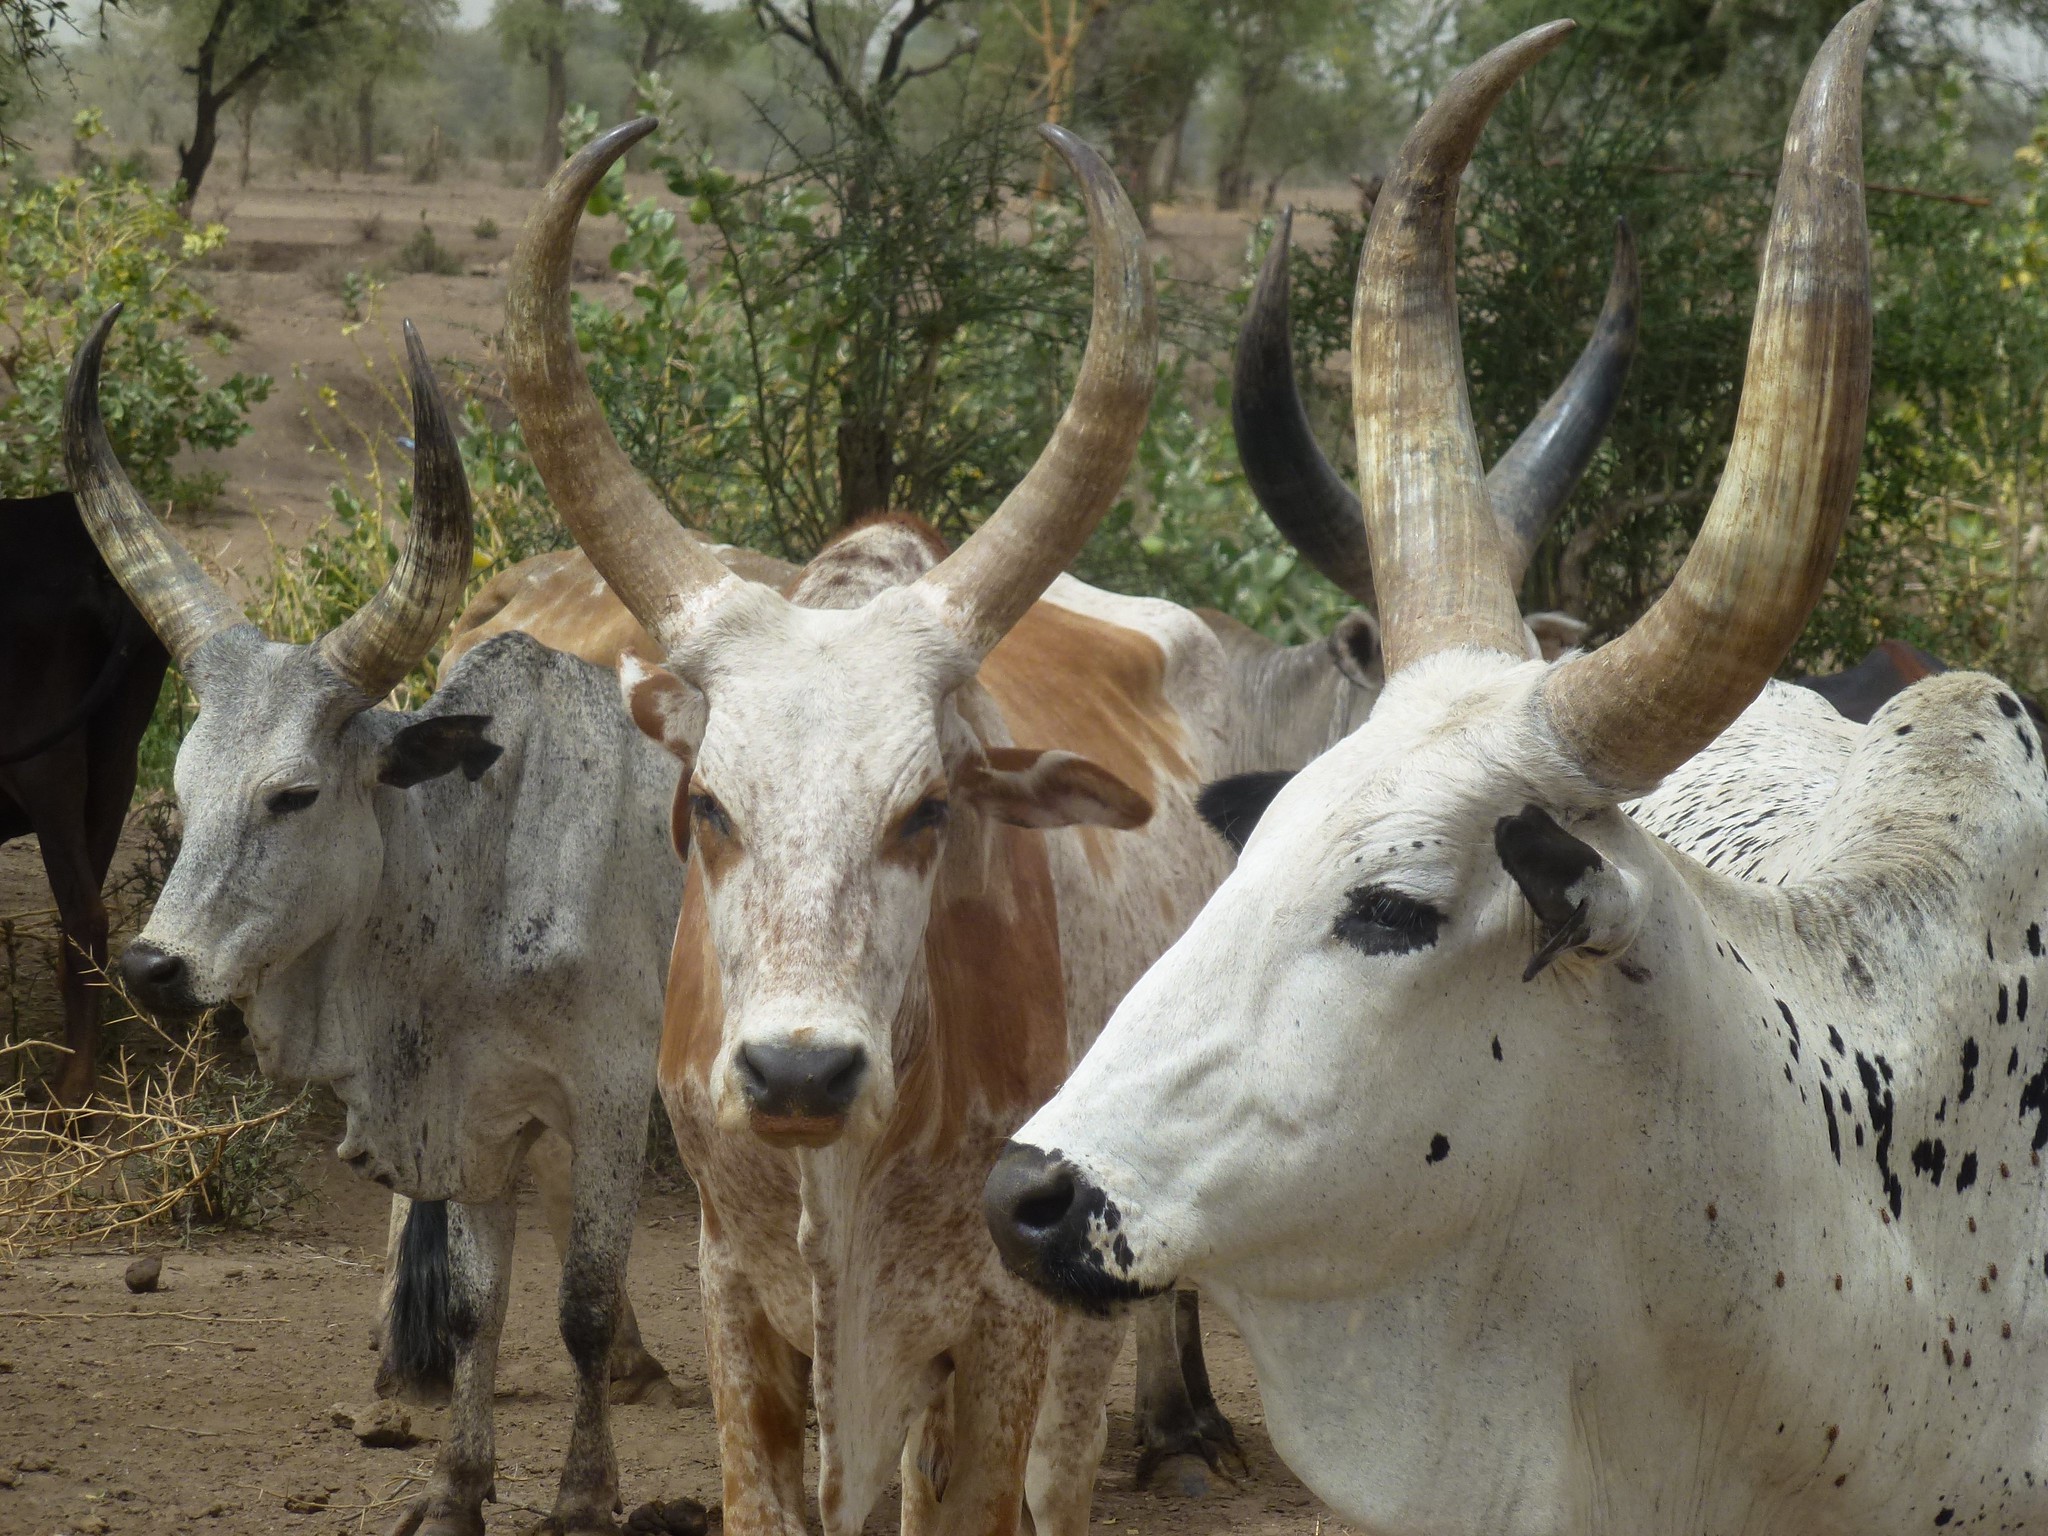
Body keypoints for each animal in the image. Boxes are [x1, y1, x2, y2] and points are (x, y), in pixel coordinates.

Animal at [68, 307, 679, 1531]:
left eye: (295, 795)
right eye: (184, 783)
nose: (155, 966)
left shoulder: (608, 1097)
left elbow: (579, 1307)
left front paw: (581, 1499)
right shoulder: (480, 1117)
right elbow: (476, 1309)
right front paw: (453, 1490)